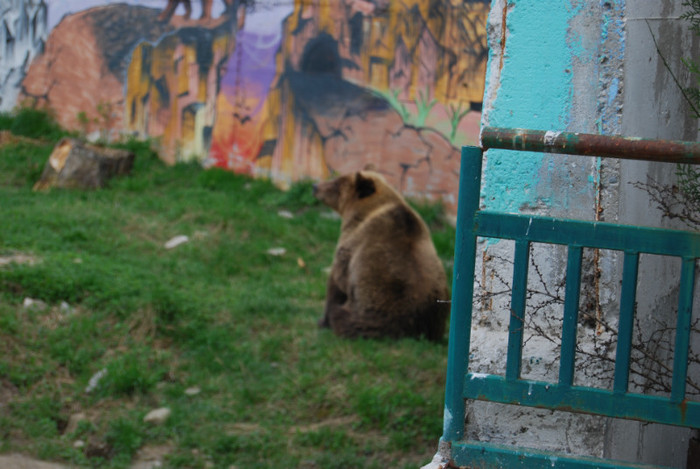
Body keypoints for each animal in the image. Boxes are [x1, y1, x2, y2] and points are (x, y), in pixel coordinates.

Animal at [314, 167, 448, 340]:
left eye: (337, 182)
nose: (315, 186)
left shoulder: (352, 245)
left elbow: (336, 281)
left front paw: (322, 321)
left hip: (374, 309)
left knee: (345, 316)